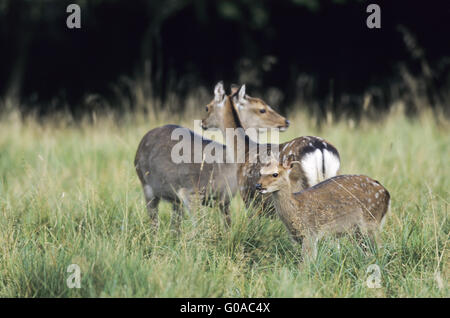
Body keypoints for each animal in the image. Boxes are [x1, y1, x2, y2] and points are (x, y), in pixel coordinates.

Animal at [134, 80, 288, 227]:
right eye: (262, 109)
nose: (286, 121)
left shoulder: (224, 200)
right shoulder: (191, 192)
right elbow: (201, 227)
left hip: (174, 199)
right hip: (147, 187)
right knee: (155, 222)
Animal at [201, 83, 342, 215]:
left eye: (207, 107)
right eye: (262, 109)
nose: (202, 122)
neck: (242, 153)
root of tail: (321, 149)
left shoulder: (249, 199)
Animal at [256, 157, 390, 258]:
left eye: (275, 174)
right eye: (260, 173)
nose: (258, 185)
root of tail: (386, 192)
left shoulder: (310, 233)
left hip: (371, 221)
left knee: (379, 248)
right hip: (359, 231)